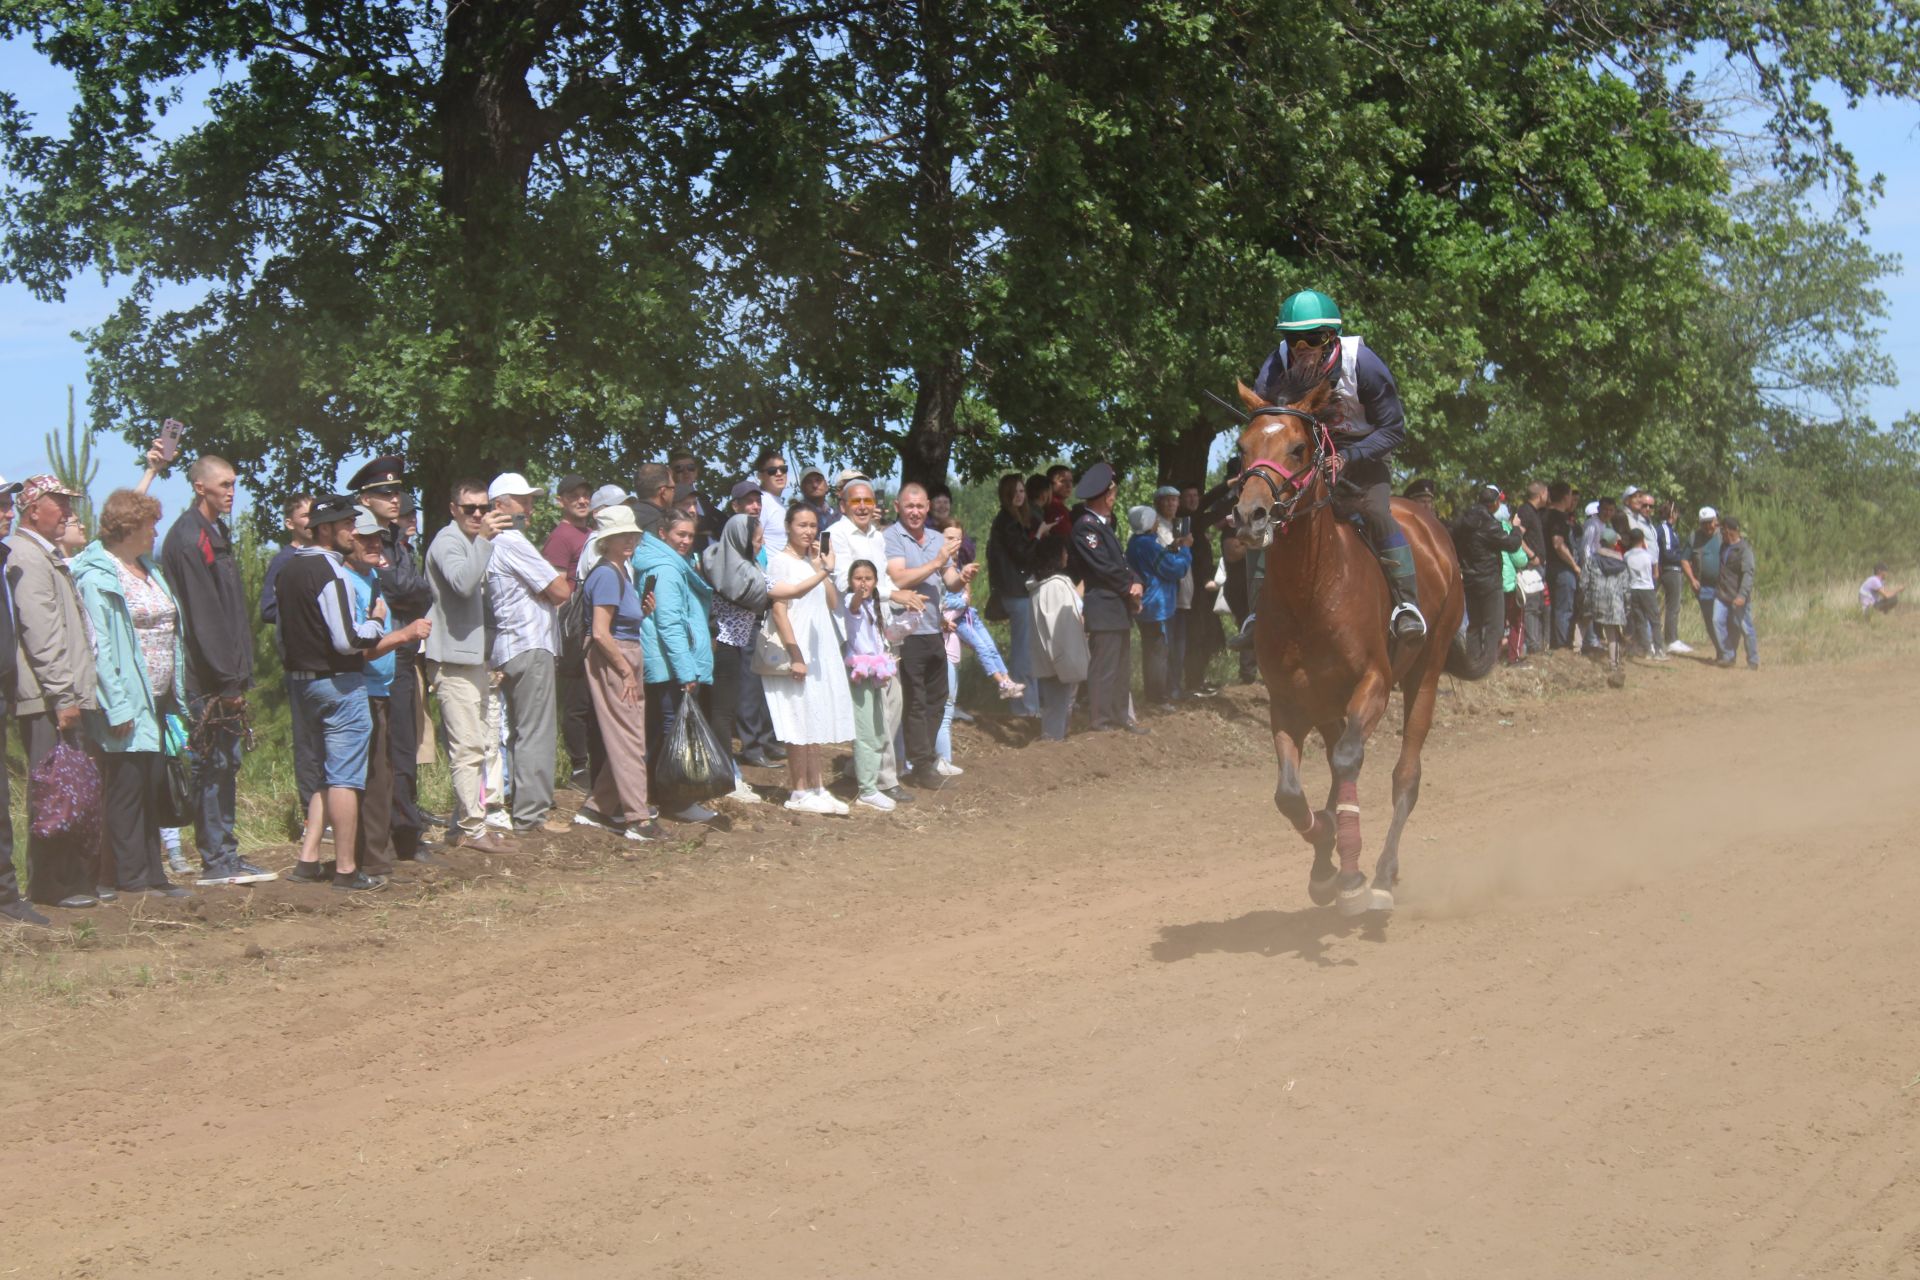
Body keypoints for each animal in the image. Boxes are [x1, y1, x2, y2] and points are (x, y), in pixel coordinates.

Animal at [1228, 376, 1497, 917]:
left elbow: (1351, 762)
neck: (1310, 590)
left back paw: (1384, 873)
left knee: (1405, 776)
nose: (1250, 515)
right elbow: (1290, 794)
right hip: (1330, 706)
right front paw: (1326, 857)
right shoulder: (1289, 701)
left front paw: (1350, 872)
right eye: (1241, 449)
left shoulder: (1372, 683)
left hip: (1425, 673)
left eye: (1297, 448)